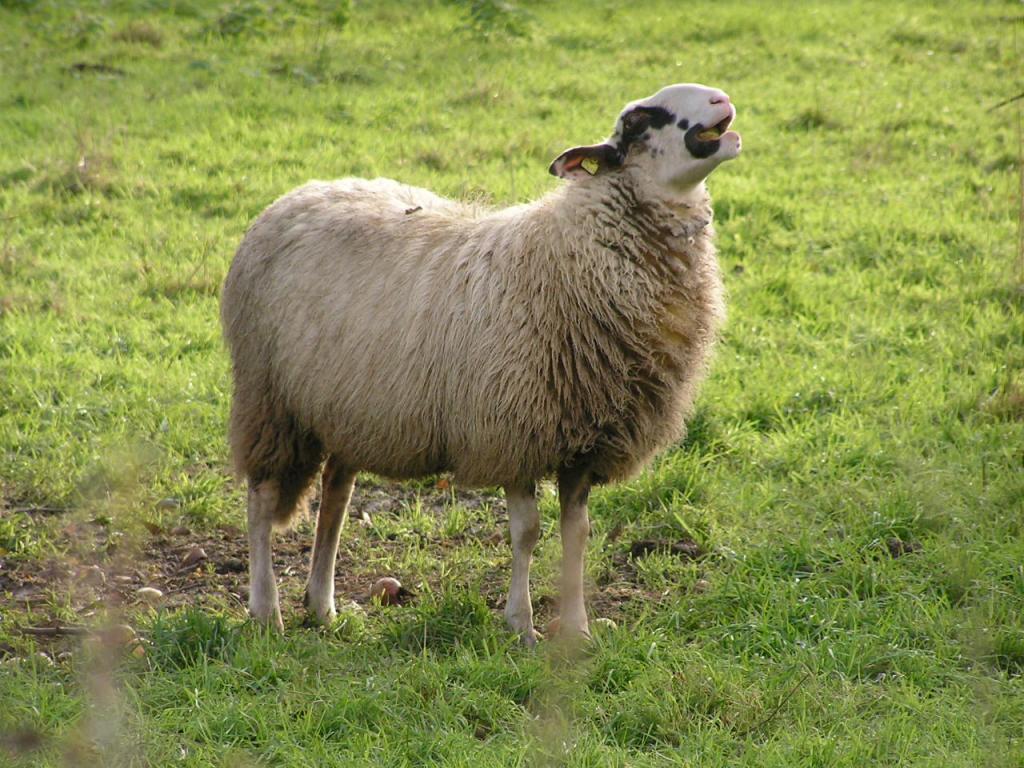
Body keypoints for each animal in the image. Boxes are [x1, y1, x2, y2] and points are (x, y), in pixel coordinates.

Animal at [220, 83, 741, 642]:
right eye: (641, 120)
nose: (720, 98)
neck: (573, 252)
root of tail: (301, 192)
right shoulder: (512, 429)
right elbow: (527, 533)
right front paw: (522, 625)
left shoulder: (586, 440)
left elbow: (577, 533)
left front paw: (577, 630)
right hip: (269, 397)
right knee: (261, 499)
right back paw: (266, 609)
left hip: (350, 404)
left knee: (336, 493)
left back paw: (321, 605)